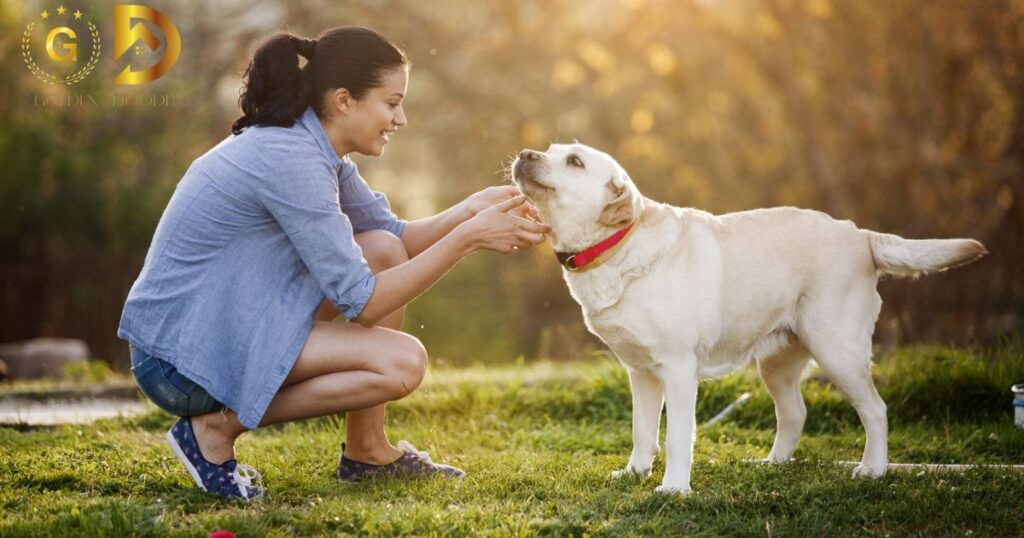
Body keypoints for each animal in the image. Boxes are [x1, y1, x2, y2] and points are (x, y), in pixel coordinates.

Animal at [516, 142, 987, 495]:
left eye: (575, 161)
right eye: (551, 150)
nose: (524, 153)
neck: (616, 246)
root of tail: (860, 233)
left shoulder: (678, 368)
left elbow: (677, 436)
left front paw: (673, 488)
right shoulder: (641, 372)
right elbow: (641, 431)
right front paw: (634, 473)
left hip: (838, 350)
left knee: (876, 410)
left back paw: (872, 470)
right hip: (777, 362)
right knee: (795, 413)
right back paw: (771, 465)